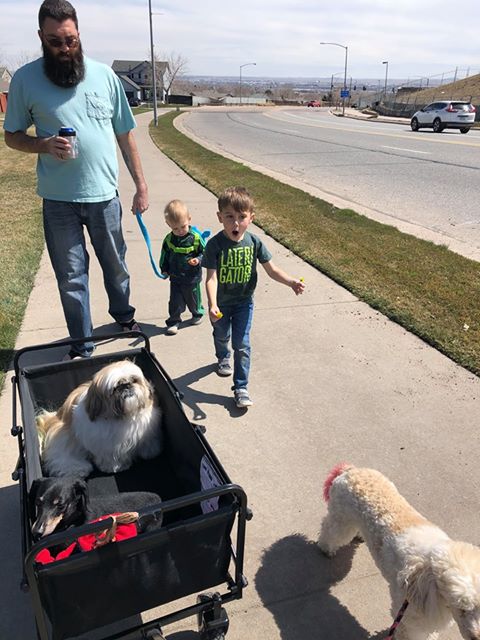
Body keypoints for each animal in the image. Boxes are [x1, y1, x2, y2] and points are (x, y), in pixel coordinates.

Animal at [318, 464, 480, 640]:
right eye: (462, 608)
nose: (476, 637)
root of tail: (350, 470)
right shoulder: (410, 615)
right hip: (342, 520)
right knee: (330, 530)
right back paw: (326, 548)